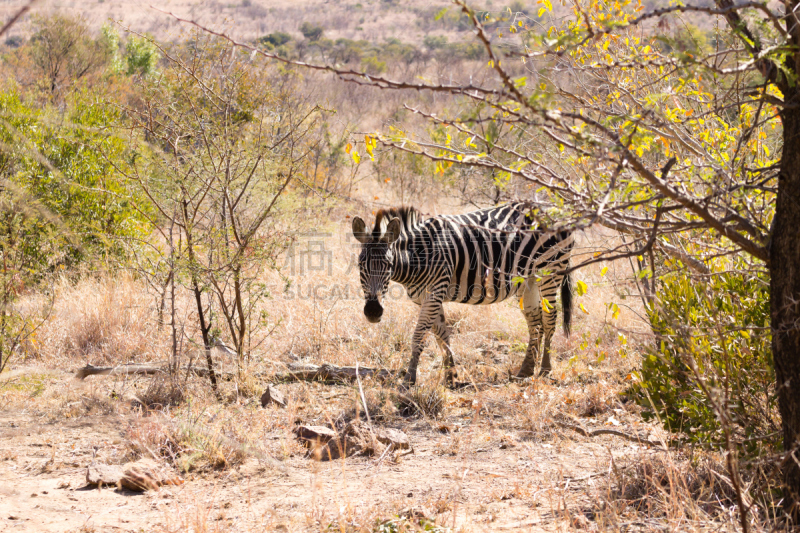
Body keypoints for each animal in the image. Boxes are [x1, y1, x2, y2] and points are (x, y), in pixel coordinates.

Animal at [354, 202, 572, 384]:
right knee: (535, 321)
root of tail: (556, 209)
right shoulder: (427, 297)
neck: (419, 255)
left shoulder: (435, 291)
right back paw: (526, 370)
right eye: (360, 266)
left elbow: (419, 336)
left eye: (388, 266)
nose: (373, 311)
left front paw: (409, 379)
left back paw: (545, 369)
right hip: (528, 279)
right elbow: (442, 335)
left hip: (551, 270)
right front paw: (451, 376)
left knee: (549, 318)